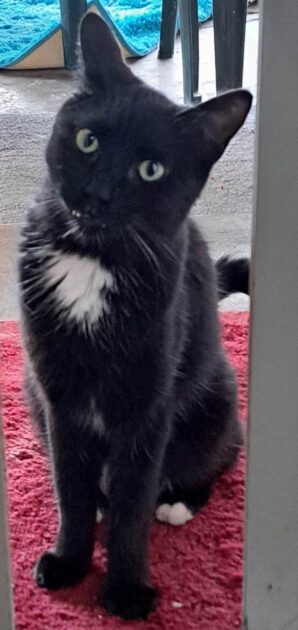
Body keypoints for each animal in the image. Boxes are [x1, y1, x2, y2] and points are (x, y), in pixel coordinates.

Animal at [18, 12, 251, 624]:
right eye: (88, 140)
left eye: (150, 170)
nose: (98, 195)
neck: (92, 260)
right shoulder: (57, 393)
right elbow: (70, 488)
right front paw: (69, 563)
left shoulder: (147, 403)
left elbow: (133, 502)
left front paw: (124, 590)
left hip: (214, 396)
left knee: (221, 453)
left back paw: (178, 502)